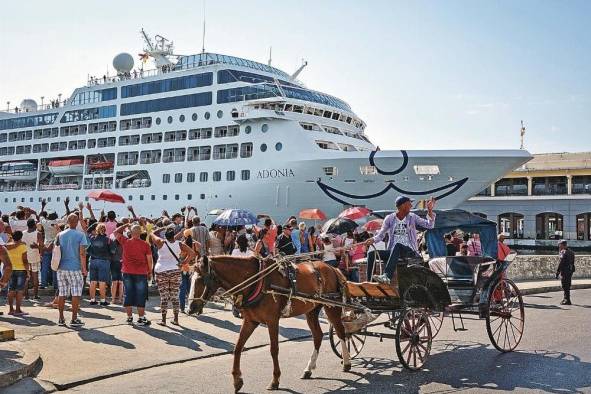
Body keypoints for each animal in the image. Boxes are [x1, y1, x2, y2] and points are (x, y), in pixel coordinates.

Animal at [188, 255, 352, 390]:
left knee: (341, 332)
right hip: (311, 310)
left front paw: (275, 380)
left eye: (201, 279)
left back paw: (346, 362)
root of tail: (332, 268)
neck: (256, 280)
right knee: (318, 336)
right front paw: (237, 380)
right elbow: (238, 348)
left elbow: (274, 349)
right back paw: (309, 369)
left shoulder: (272, 320)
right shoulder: (250, 321)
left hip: (332, 306)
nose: (190, 307)